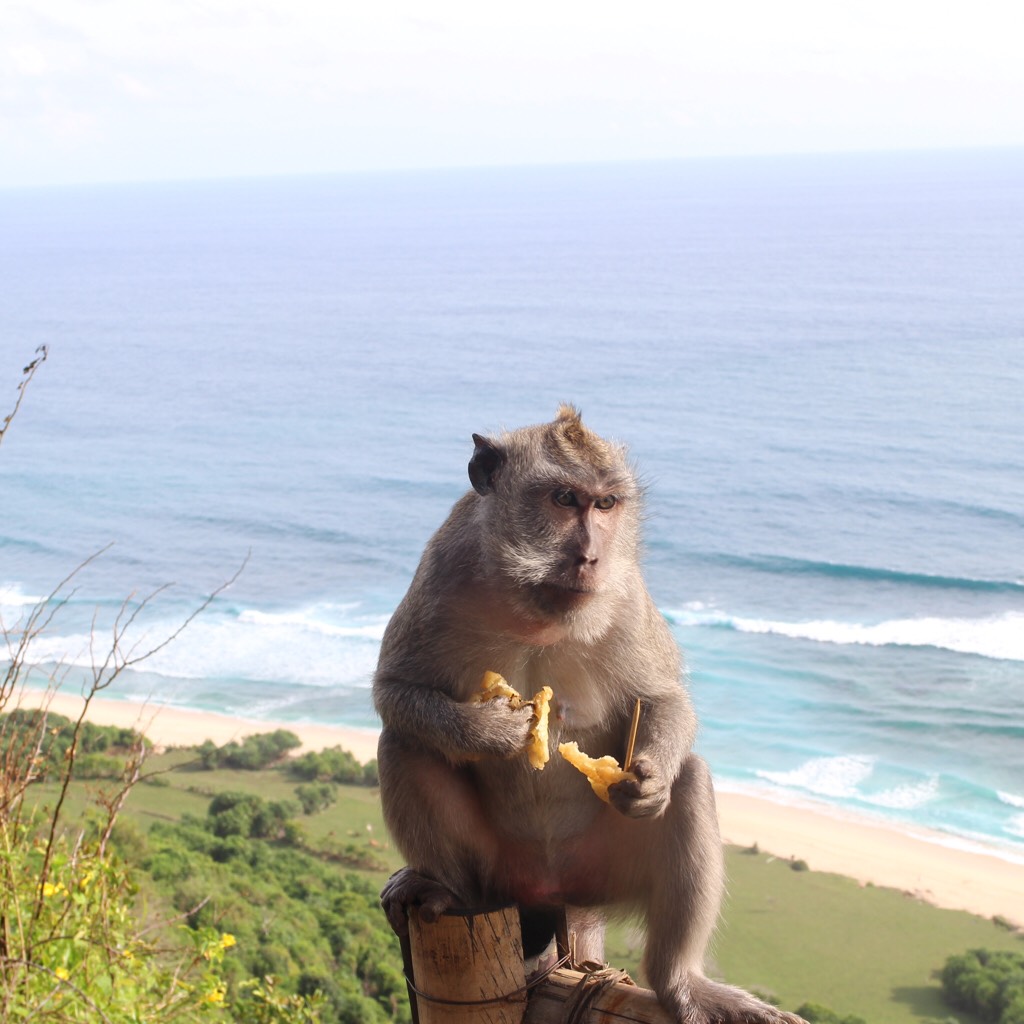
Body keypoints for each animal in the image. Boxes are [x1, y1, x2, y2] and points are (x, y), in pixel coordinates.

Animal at [373, 405, 803, 1024]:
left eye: (605, 505)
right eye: (563, 498)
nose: (590, 555)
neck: (534, 605)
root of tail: (551, 892)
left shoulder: (626, 591)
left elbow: (665, 698)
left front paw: (649, 781)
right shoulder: (441, 569)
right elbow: (395, 690)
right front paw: (494, 731)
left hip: (605, 867)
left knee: (691, 780)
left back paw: (678, 981)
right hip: (499, 868)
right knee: (404, 743)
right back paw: (451, 891)